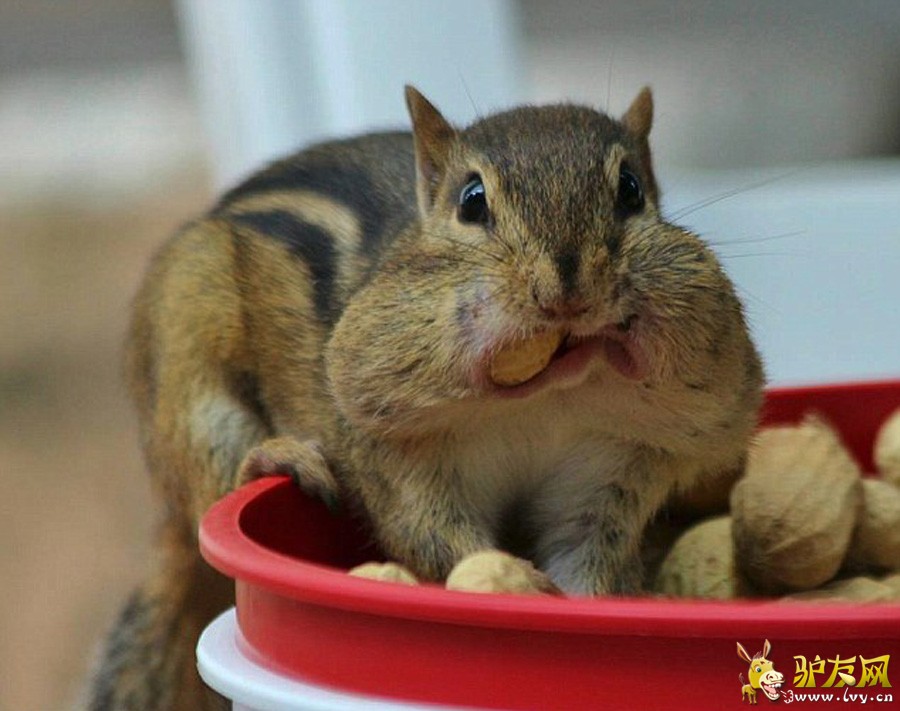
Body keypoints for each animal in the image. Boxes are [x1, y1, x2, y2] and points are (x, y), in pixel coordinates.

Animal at [86, 86, 764, 709]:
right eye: (472, 201)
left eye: (630, 190)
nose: (566, 292)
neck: (547, 403)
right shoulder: (401, 453)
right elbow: (434, 538)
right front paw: (518, 583)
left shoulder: (611, 471)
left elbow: (586, 562)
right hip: (188, 347)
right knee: (207, 497)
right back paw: (274, 458)